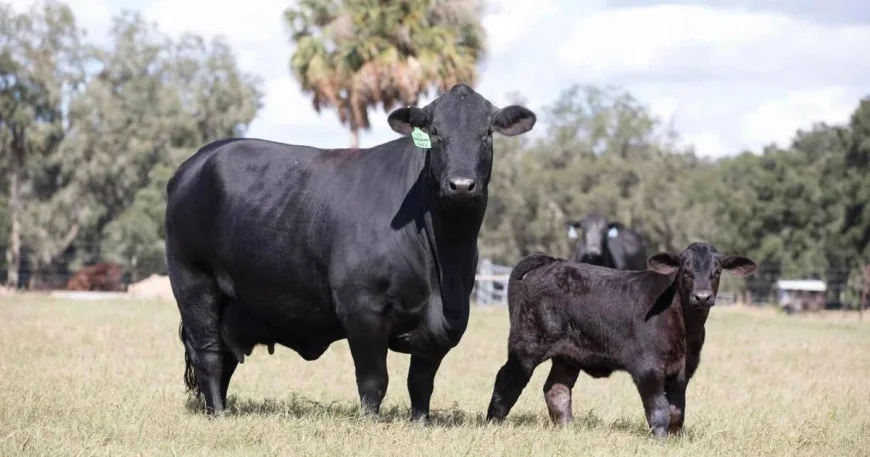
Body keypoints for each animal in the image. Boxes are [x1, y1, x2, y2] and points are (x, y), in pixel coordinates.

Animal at [164, 83, 537, 419]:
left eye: (487, 133)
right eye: (434, 132)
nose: (461, 185)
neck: (444, 263)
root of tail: (198, 160)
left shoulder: (446, 321)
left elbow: (421, 382)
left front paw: (420, 421)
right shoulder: (362, 308)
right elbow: (374, 379)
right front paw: (369, 422)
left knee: (224, 355)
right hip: (193, 282)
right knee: (209, 353)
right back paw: (218, 414)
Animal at [485, 242, 757, 438]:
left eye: (717, 271)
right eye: (686, 270)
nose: (702, 297)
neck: (685, 327)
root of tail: (553, 262)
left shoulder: (683, 371)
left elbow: (677, 411)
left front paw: (675, 440)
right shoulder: (648, 367)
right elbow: (659, 410)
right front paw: (661, 440)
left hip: (567, 355)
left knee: (557, 389)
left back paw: (568, 429)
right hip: (527, 345)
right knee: (507, 379)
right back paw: (493, 422)